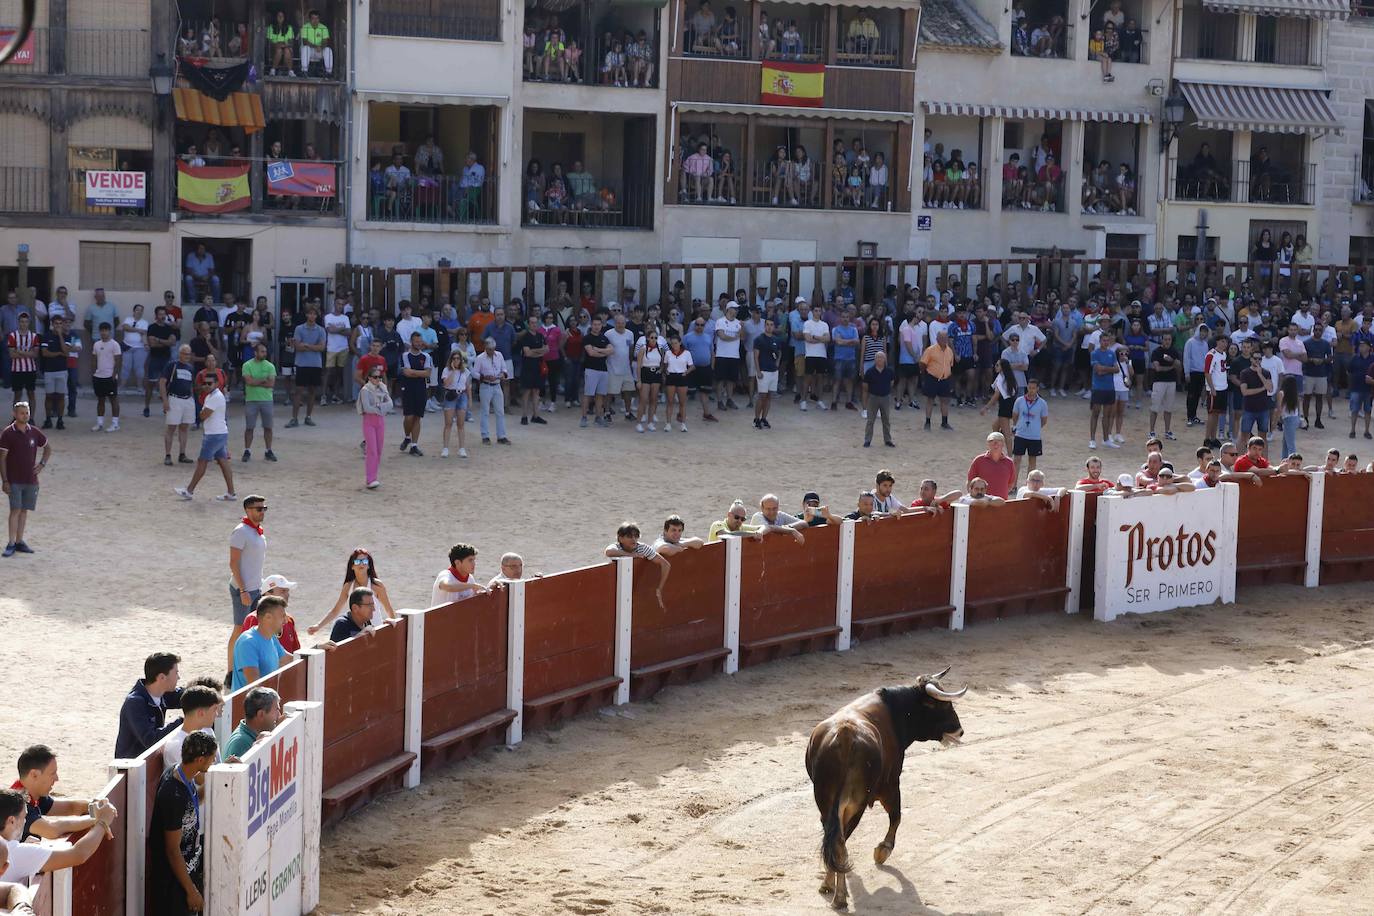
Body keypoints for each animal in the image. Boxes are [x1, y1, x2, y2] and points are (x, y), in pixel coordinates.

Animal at [802, 667, 967, 911]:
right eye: (943, 706)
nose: (960, 731)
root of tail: (845, 735)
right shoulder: (891, 784)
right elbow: (897, 816)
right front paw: (882, 851)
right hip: (857, 804)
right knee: (841, 841)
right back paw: (840, 896)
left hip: (825, 802)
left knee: (834, 840)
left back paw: (829, 886)